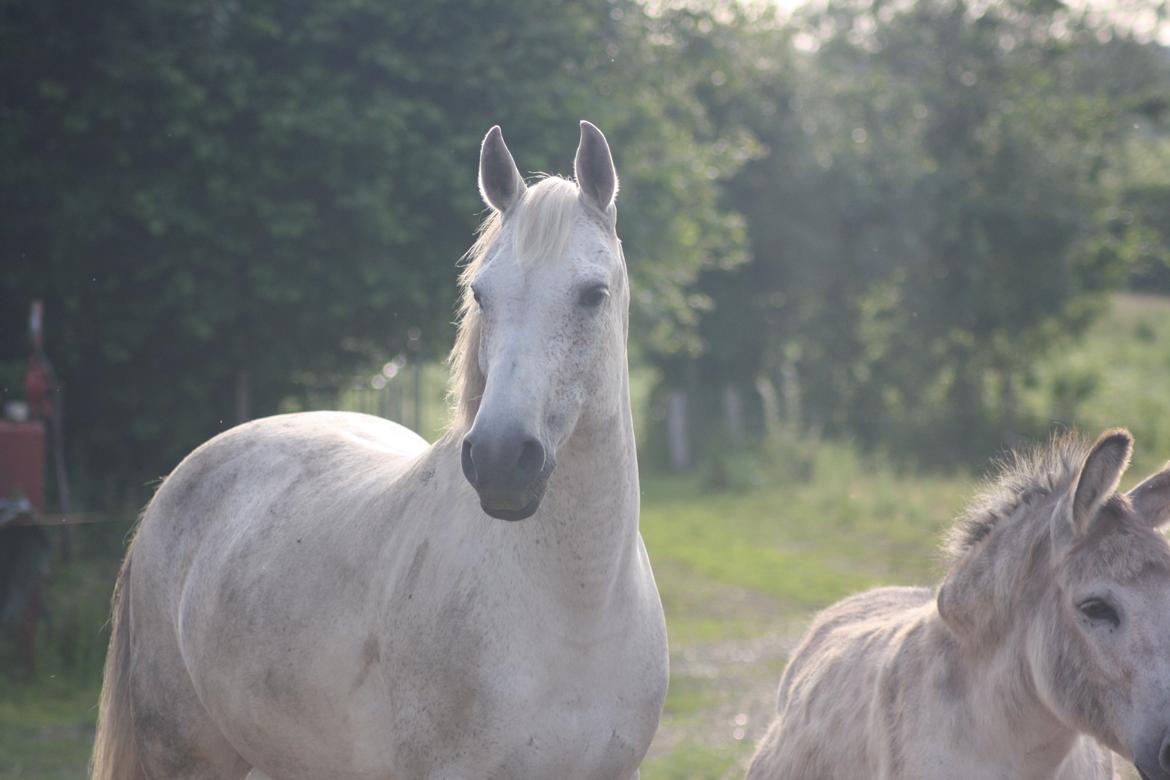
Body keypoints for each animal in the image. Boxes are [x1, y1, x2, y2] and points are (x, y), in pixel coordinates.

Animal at [91, 120, 669, 780]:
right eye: (481, 294)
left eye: (593, 294)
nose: (500, 460)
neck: (577, 611)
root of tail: (177, 484)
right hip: (187, 755)